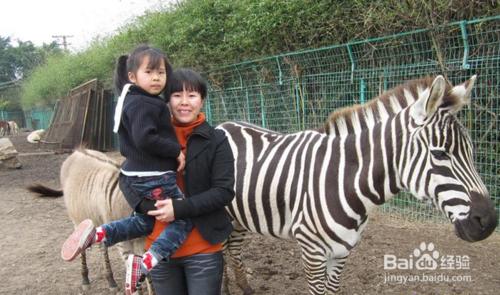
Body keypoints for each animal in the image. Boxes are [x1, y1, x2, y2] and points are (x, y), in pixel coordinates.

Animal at [221, 75, 498, 294]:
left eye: (472, 152)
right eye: (440, 154)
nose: (488, 223)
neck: (345, 180)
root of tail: (223, 125)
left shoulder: (343, 251)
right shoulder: (311, 250)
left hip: (240, 216)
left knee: (232, 250)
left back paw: (245, 287)